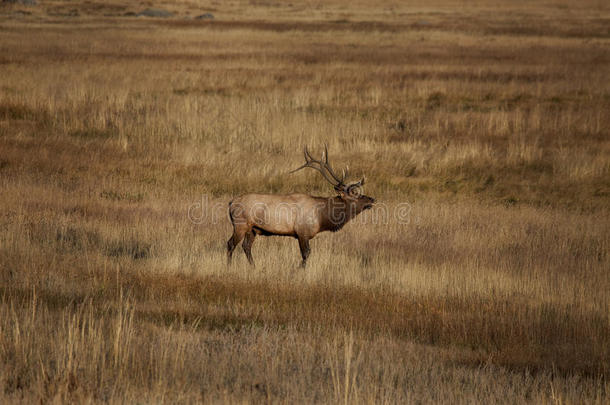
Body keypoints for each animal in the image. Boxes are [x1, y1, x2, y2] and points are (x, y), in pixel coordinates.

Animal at [226, 145, 372, 266]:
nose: (372, 199)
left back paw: (253, 266)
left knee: (246, 246)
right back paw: (229, 266)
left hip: (253, 229)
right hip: (240, 225)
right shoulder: (302, 232)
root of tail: (231, 203)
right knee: (230, 244)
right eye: (355, 194)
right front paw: (298, 270)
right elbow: (306, 254)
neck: (322, 217)